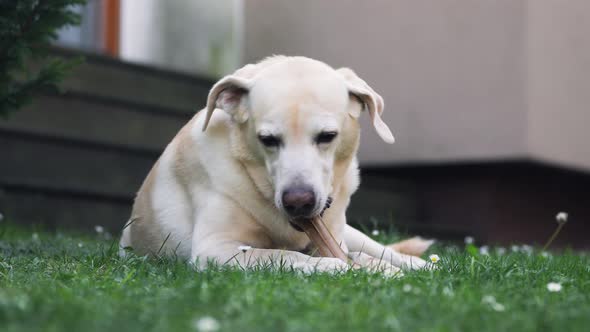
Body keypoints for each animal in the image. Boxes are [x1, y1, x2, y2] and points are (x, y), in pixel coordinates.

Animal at [121, 55, 434, 274]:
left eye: (327, 136)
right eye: (268, 139)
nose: (298, 202)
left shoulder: (335, 236)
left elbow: (355, 255)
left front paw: (382, 269)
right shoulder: (215, 248)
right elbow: (279, 254)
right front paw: (330, 266)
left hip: (352, 232)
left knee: (380, 248)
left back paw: (423, 264)